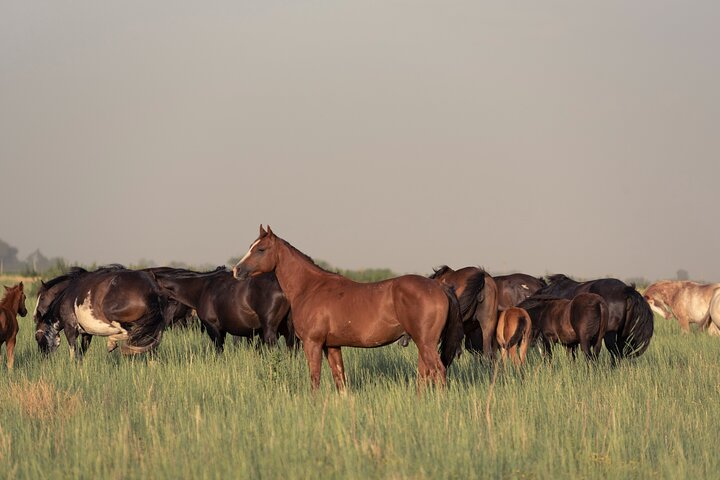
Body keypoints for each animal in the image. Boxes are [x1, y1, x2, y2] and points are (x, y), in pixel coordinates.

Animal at [37, 266, 168, 355]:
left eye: (37, 338)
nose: (43, 357)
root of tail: (152, 288)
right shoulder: (86, 334)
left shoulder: (70, 329)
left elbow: (74, 353)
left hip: (113, 315)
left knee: (129, 333)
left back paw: (111, 343)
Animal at [150, 267, 294, 351]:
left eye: (172, 301)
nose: (164, 324)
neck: (203, 288)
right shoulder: (222, 331)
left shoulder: (213, 328)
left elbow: (219, 351)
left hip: (270, 330)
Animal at [233, 225, 463, 391]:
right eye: (251, 246)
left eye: (260, 249)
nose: (237, 270)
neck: (311, 287)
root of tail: (439, 286)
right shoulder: (332, 346)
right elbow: (339, 379)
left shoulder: (312, 343)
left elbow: (315, 379)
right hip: (422, 343)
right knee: (425, 375)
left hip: (426, 342)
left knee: (438, 372)